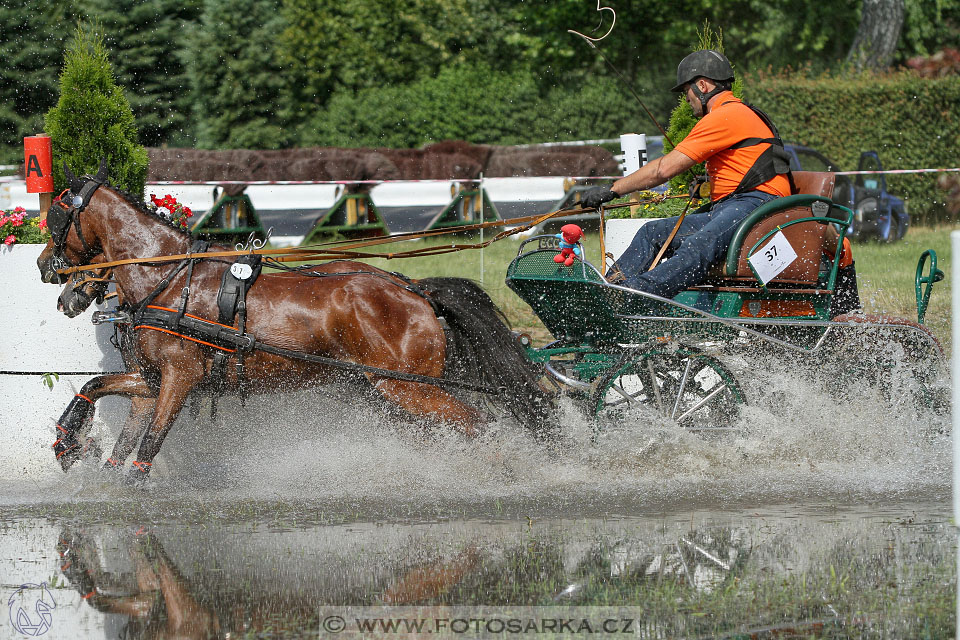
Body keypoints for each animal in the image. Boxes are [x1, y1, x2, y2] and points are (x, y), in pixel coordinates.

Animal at [39, 165, 548, 480]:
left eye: (58, 215)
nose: (48, 271)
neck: (169, 278)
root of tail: (416, 292)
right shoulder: (152, 379)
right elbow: (103, 403)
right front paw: (70, 444)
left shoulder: (180, 377)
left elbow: (147, 446)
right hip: (387, 392)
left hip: (410, 389)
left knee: (479, 424)